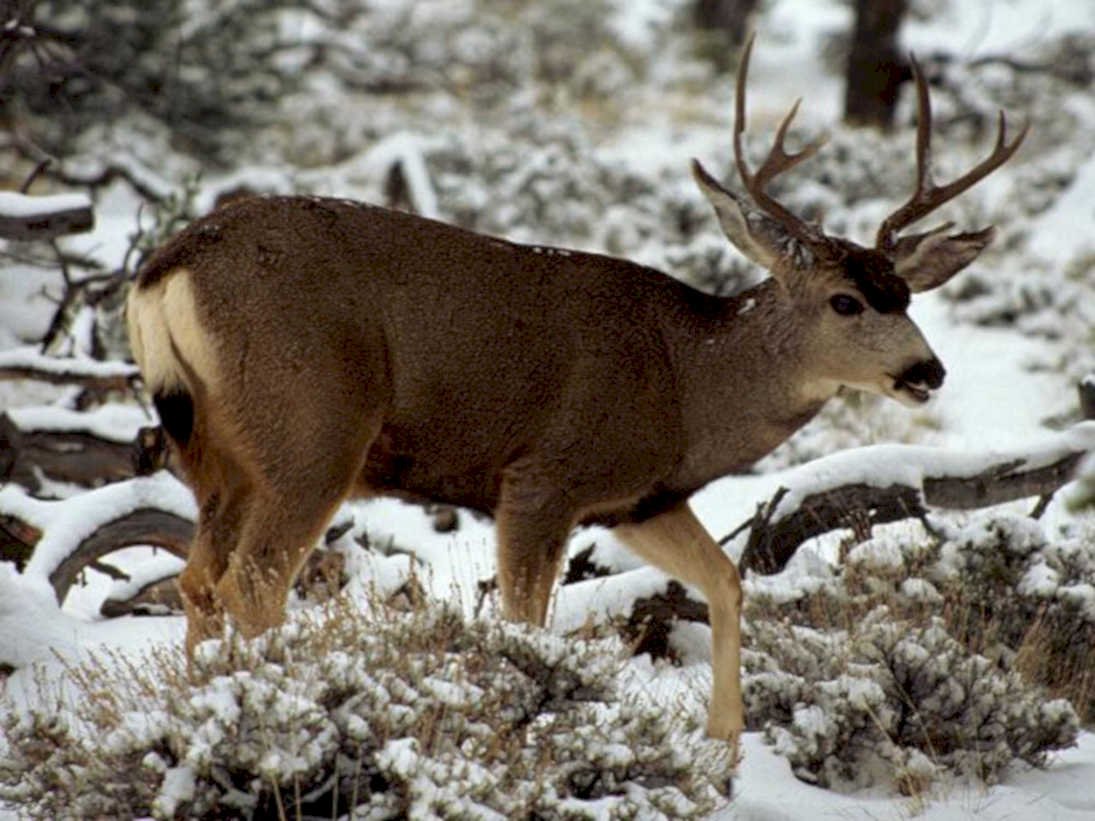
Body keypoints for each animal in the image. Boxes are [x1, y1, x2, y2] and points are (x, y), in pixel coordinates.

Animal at [126, 37, 1025, 765]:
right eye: (845, 300)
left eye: (905, 293)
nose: (927, 370)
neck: (685, 379)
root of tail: (167, 264)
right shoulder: (543, 476)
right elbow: (528, 623)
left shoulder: (639, 497)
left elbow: (726, 582)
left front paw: (724, 745)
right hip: (314, 430)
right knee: (254, 581)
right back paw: (282, 710)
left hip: (218, 453)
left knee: (198, 578)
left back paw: (196, 713)